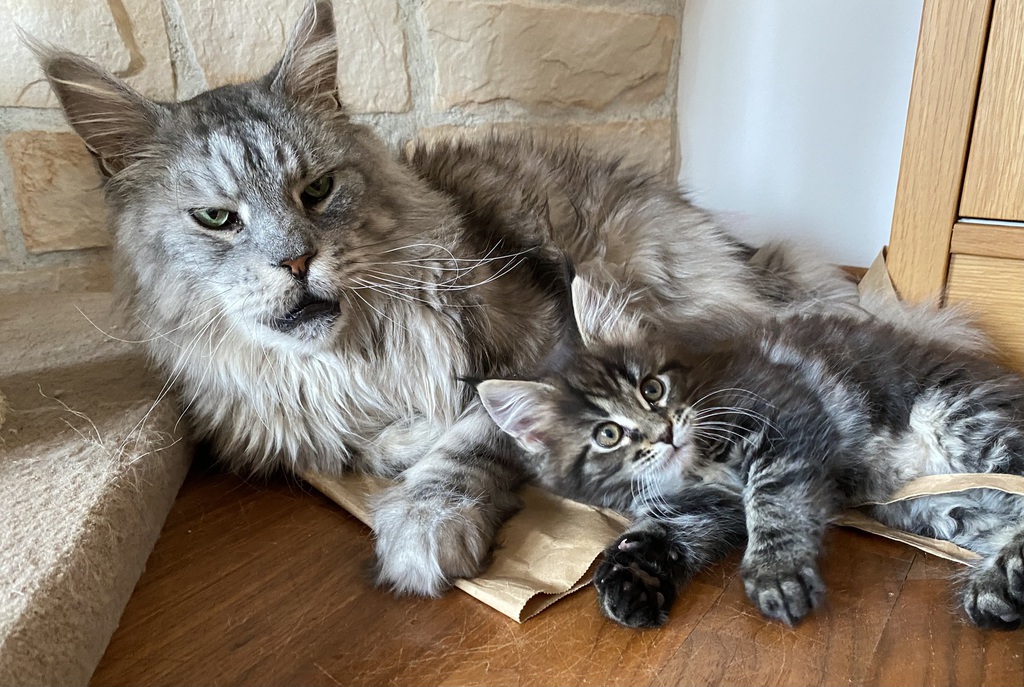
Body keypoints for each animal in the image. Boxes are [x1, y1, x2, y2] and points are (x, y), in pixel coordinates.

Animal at [34, 0, 865, 597]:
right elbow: (366, 443)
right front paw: (403, 442)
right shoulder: (293, 432)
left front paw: (423, 522)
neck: (348, 357)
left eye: (317, 190)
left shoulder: (546, 347)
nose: (296, 260)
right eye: (216, 218)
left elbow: (471, 437)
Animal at [477, 275, 1024, 630]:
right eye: (608, 435)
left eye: (652, 389)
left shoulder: (787, 423)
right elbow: (662, 535)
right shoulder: (702, 509)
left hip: (965, 420)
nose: (664, 433)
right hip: (943, 509)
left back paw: (998, 586)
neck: (698, 468)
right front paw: (631, 580)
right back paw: (1000, 588)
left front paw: (776, 575)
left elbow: (774, 503)